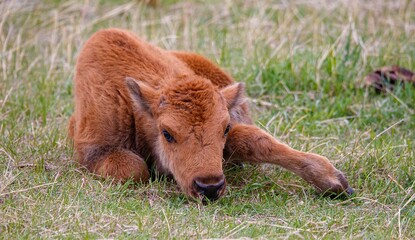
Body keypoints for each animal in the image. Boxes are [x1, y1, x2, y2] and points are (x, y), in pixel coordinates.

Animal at [69, 27, 354, 201]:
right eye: (167, 133)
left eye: (224, 128)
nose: (209, 187)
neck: (136, 109)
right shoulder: (94, 149)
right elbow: (133, 168)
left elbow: (256, 140)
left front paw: (333, 180)